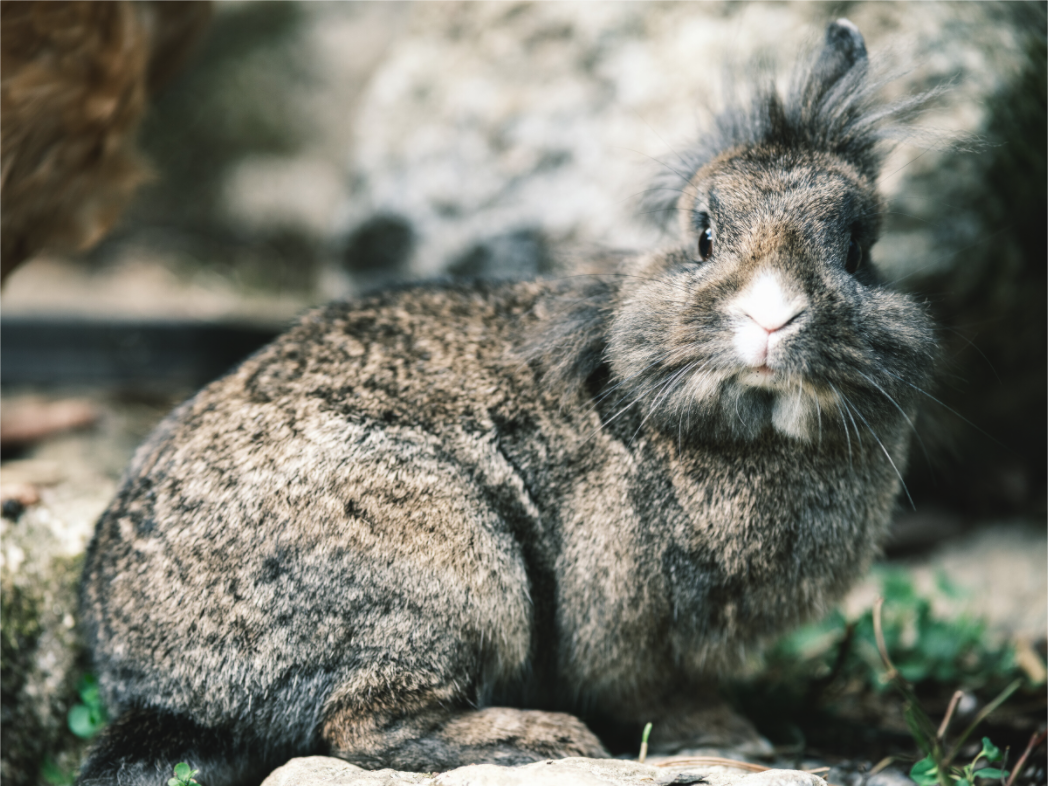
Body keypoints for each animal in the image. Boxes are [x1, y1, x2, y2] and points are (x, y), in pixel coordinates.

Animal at [76, 19, 937, 786]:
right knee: (361, 725)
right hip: (450, 572)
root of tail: (161, 686)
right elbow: (659, 692)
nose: (770, 318)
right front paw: (735, 739)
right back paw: (547, 738)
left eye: (859, 248)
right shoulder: (628, 622)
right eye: (702, 235)